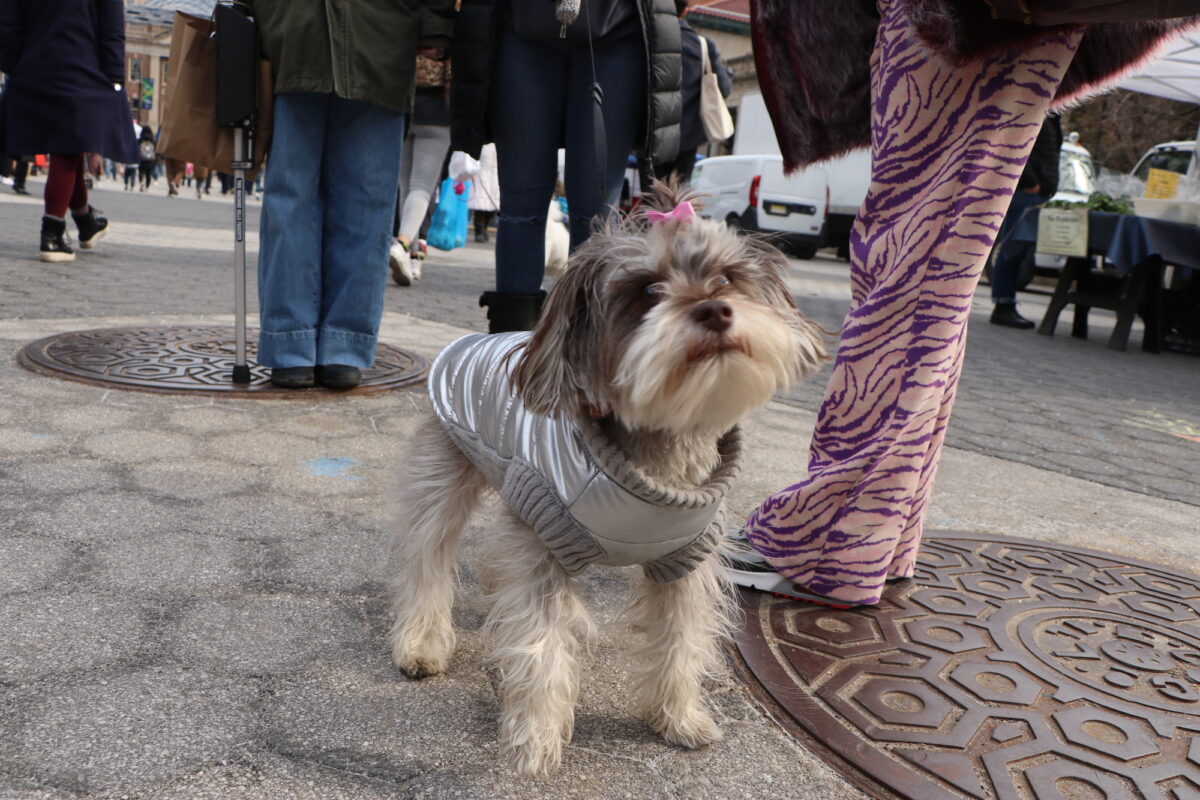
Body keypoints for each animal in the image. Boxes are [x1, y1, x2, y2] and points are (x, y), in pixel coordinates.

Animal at [388, 183, 830, 777]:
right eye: (648, 291)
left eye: (726, 279)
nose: (715, 308)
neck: (657, 455)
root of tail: (465, 342)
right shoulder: (544, 546)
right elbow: (541, 646)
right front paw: (535, 740)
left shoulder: (685, 561)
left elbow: (682, 639)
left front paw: (679, 717)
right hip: (446, 480)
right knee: (427, 562)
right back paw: (421, 645)